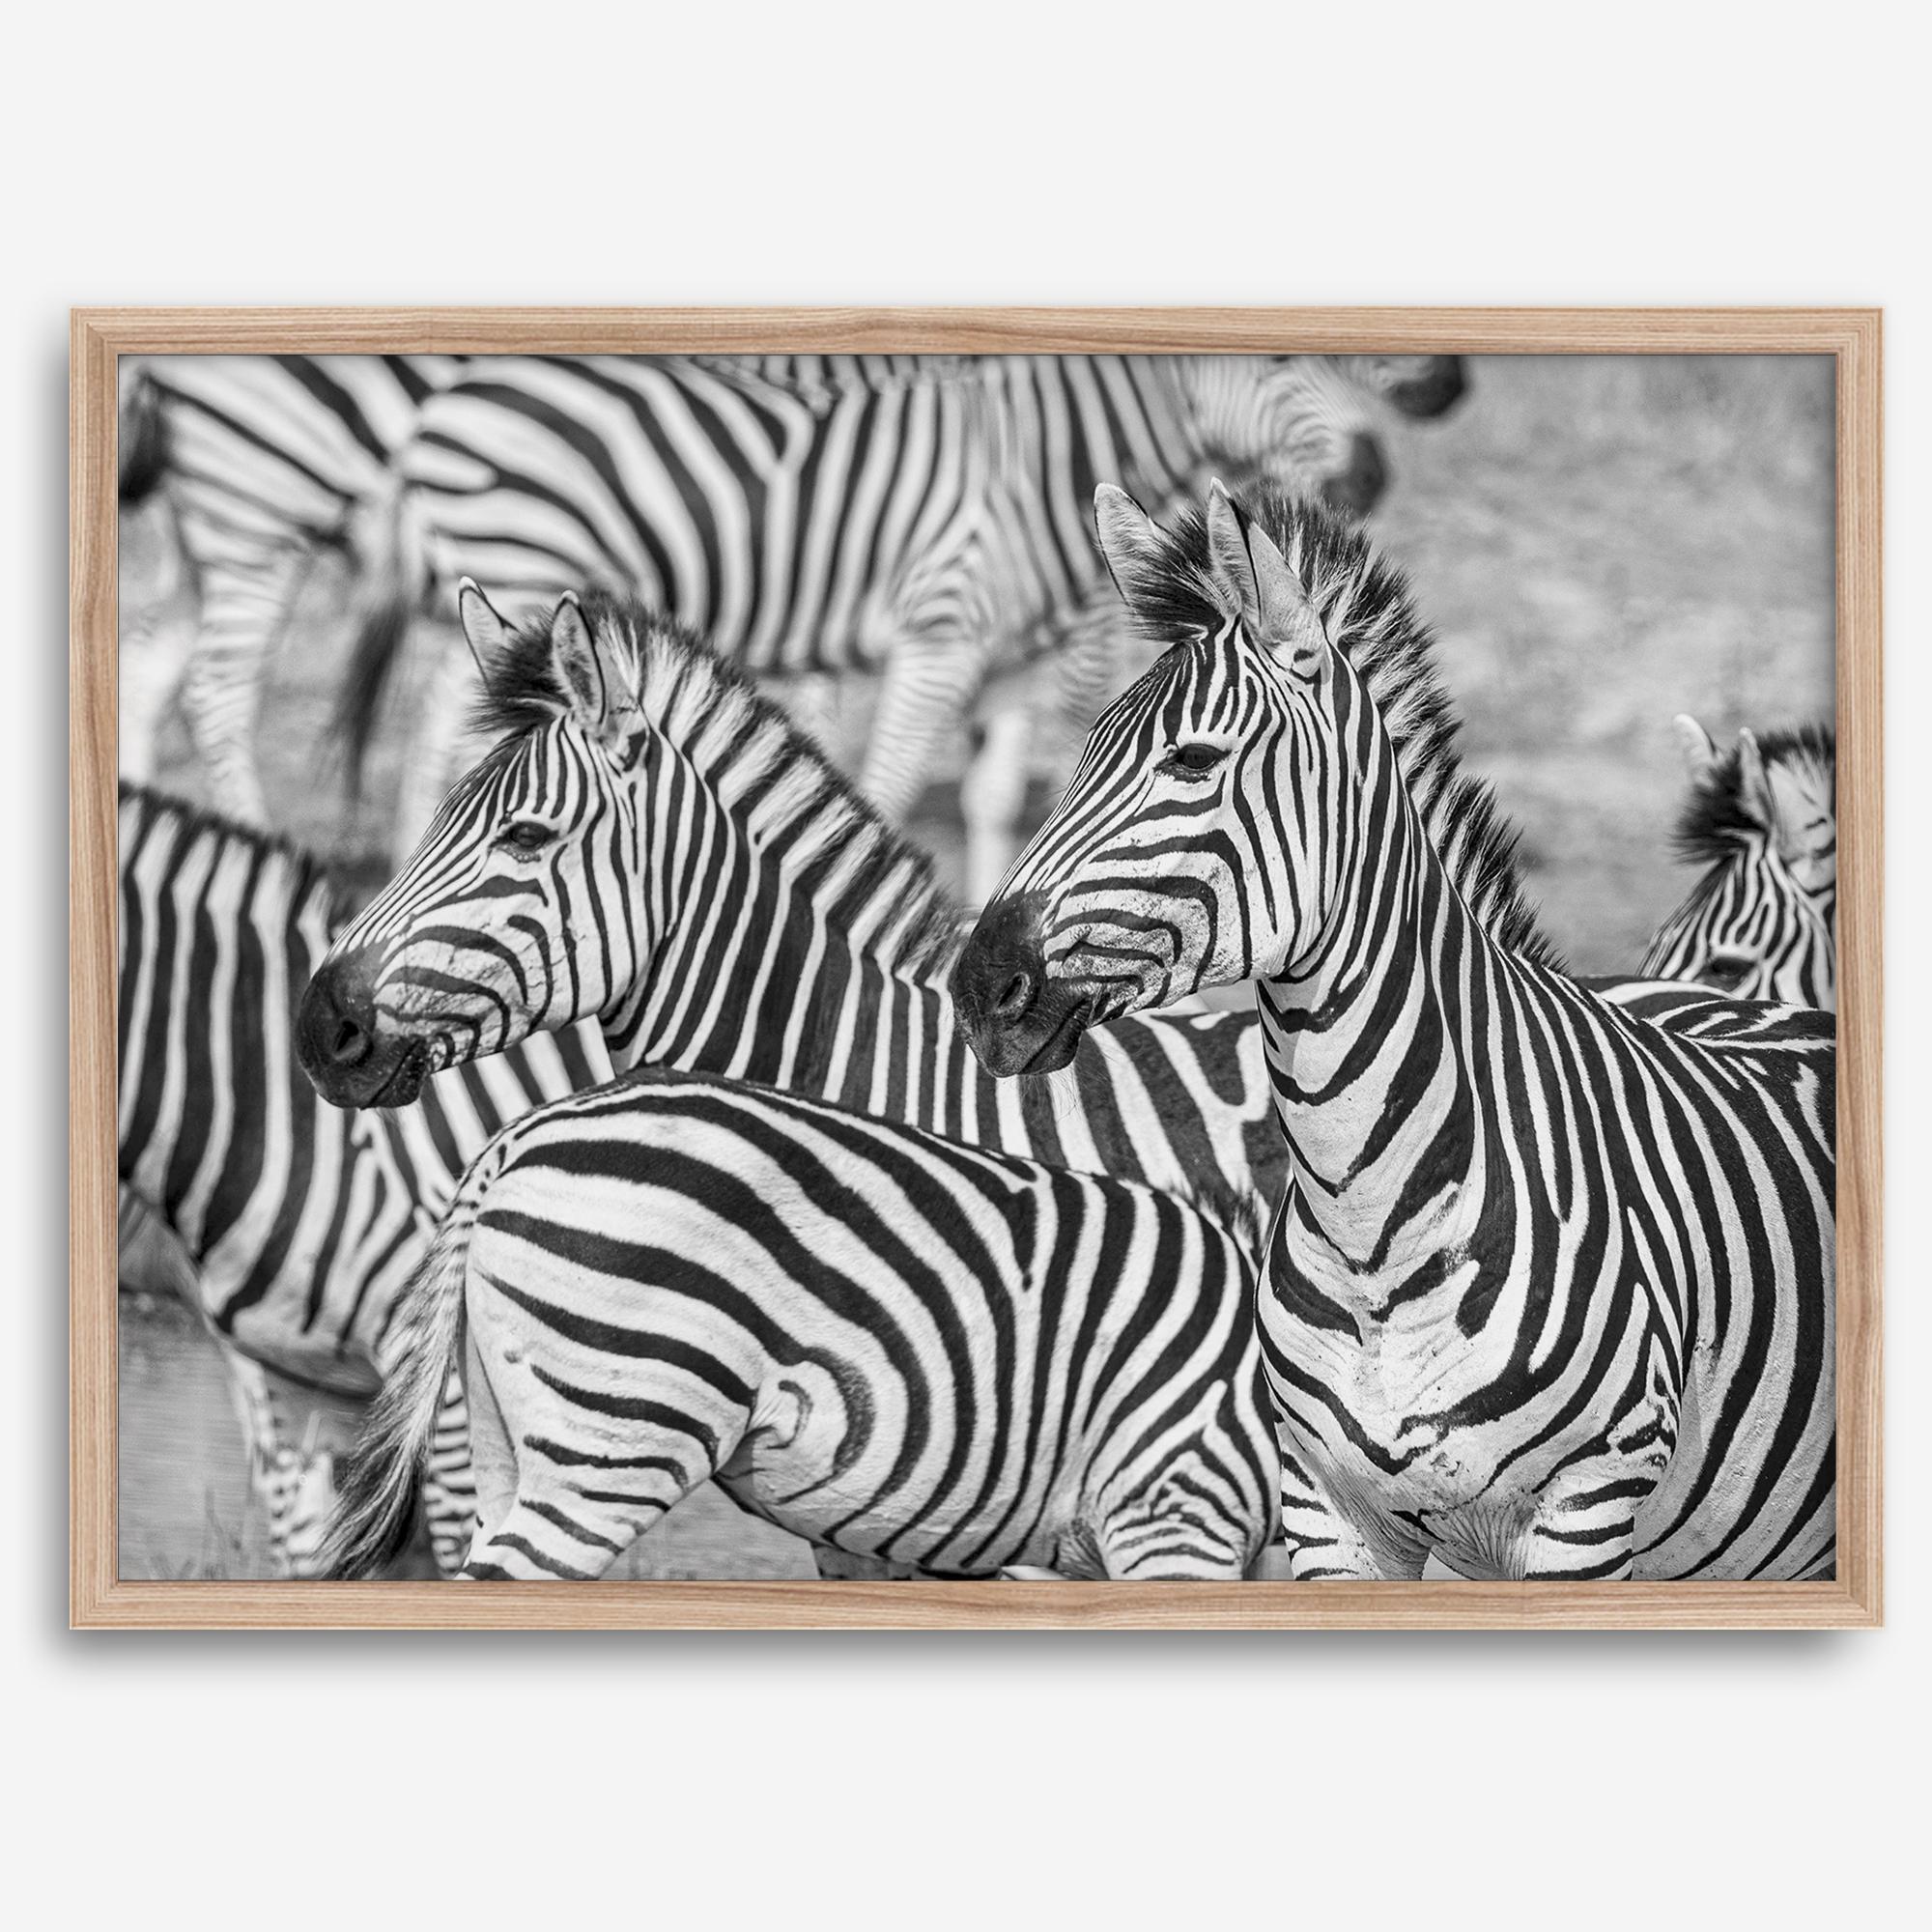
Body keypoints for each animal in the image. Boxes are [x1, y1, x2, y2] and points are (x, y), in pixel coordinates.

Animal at [336, 352, 1467, 883]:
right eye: (1275, 366)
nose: (1371, 476)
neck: (1041, 462)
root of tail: (444, 403)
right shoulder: (940, 635)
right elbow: (884, 788)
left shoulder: (1015, 658)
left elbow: (995, 798)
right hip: (521, 561)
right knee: (440, 729)